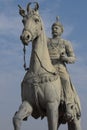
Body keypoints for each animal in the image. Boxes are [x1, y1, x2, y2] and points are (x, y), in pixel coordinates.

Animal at [12, 2, 81, 130]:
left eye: (36, 20)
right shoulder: (28, 103)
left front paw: (63, 57)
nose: (25, 37)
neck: (37, 71)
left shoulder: (51, 105)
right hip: (61, 117)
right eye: (23, 21)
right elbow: (16, 119)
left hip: (76, 119)